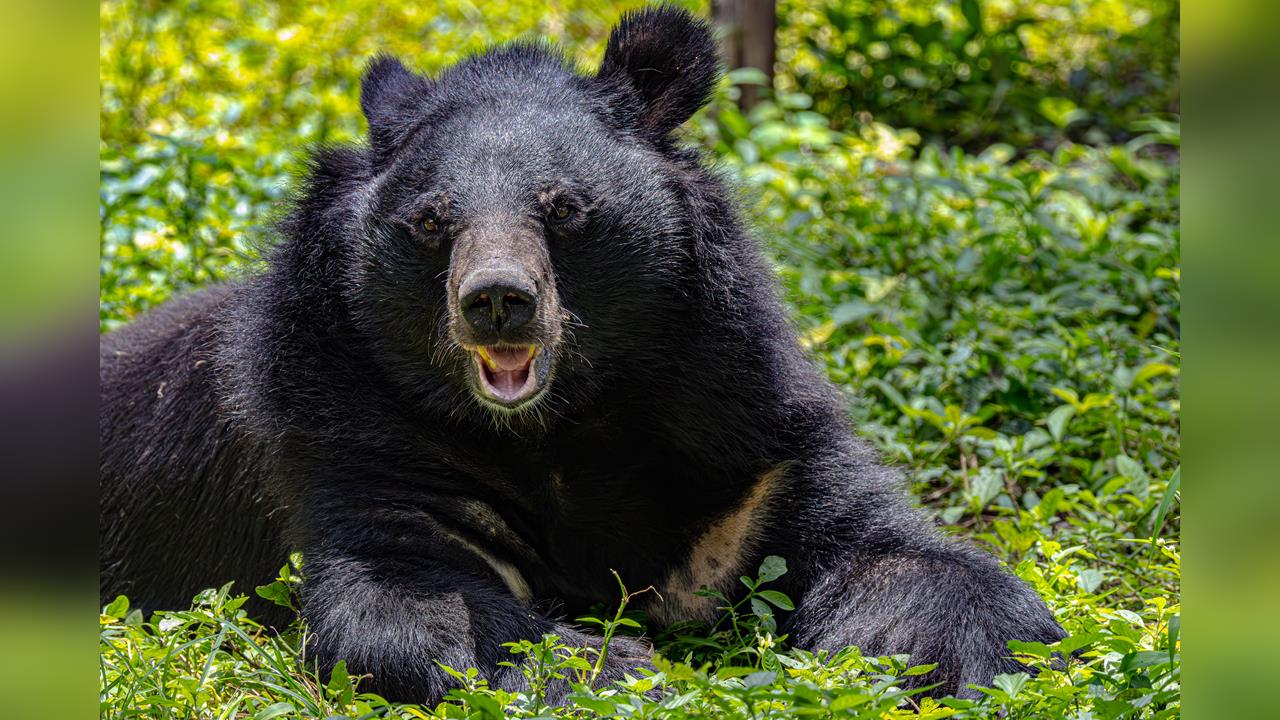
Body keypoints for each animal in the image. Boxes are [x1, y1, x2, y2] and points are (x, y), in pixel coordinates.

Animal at [100, 6, 1064, 703]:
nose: (496, 300)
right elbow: (404, 604)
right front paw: (627, 672)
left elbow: (887, 551)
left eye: (563, 207)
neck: (560, 427)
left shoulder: (743, 427)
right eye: (432, 220)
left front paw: (998, 652)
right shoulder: (348, 434)